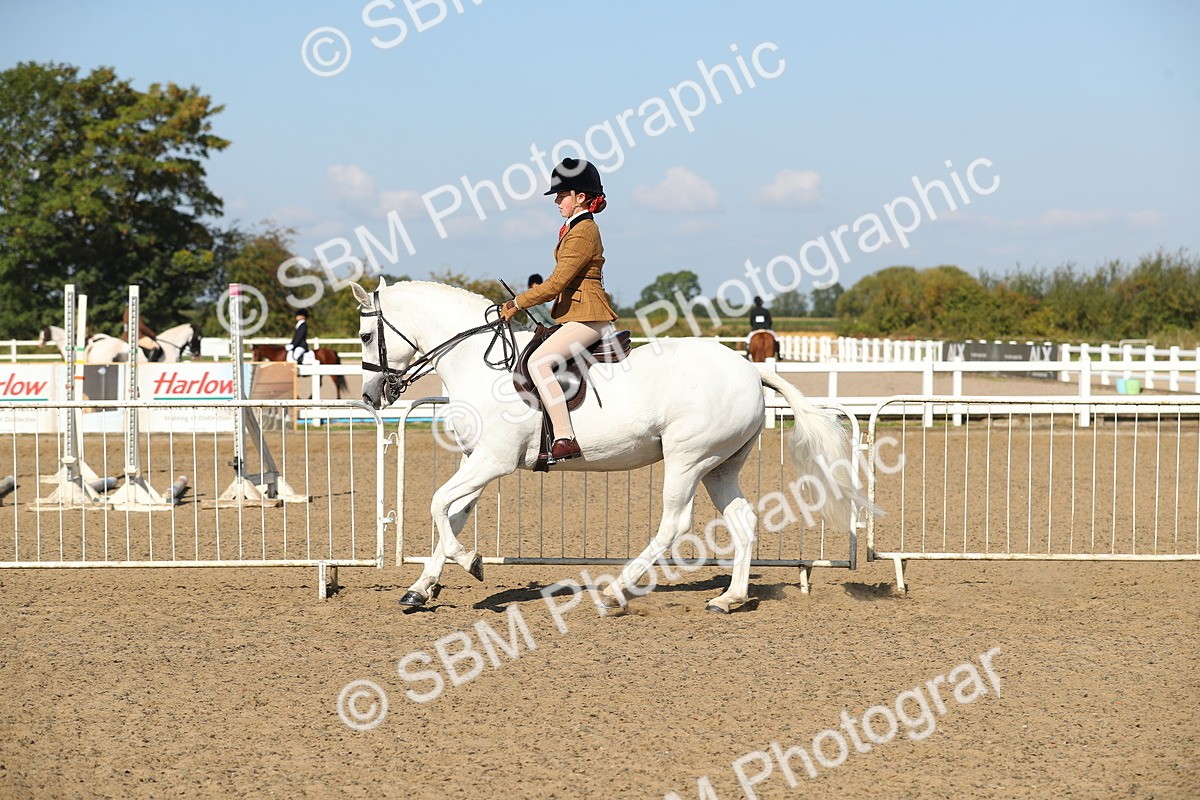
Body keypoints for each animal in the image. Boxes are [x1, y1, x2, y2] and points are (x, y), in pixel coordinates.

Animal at [351, 278, 867, 613]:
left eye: (365, 335)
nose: (371, 396)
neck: (479, 365)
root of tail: (748, 368)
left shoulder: (494, 461)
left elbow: (437, 504)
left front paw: (472, 562)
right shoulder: (476, 461)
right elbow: (451, 514)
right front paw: (422, 588)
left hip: (687, 459)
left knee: (674, 524)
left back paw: (617, 590)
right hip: (719, 466)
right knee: (742, 520)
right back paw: (730, 599)